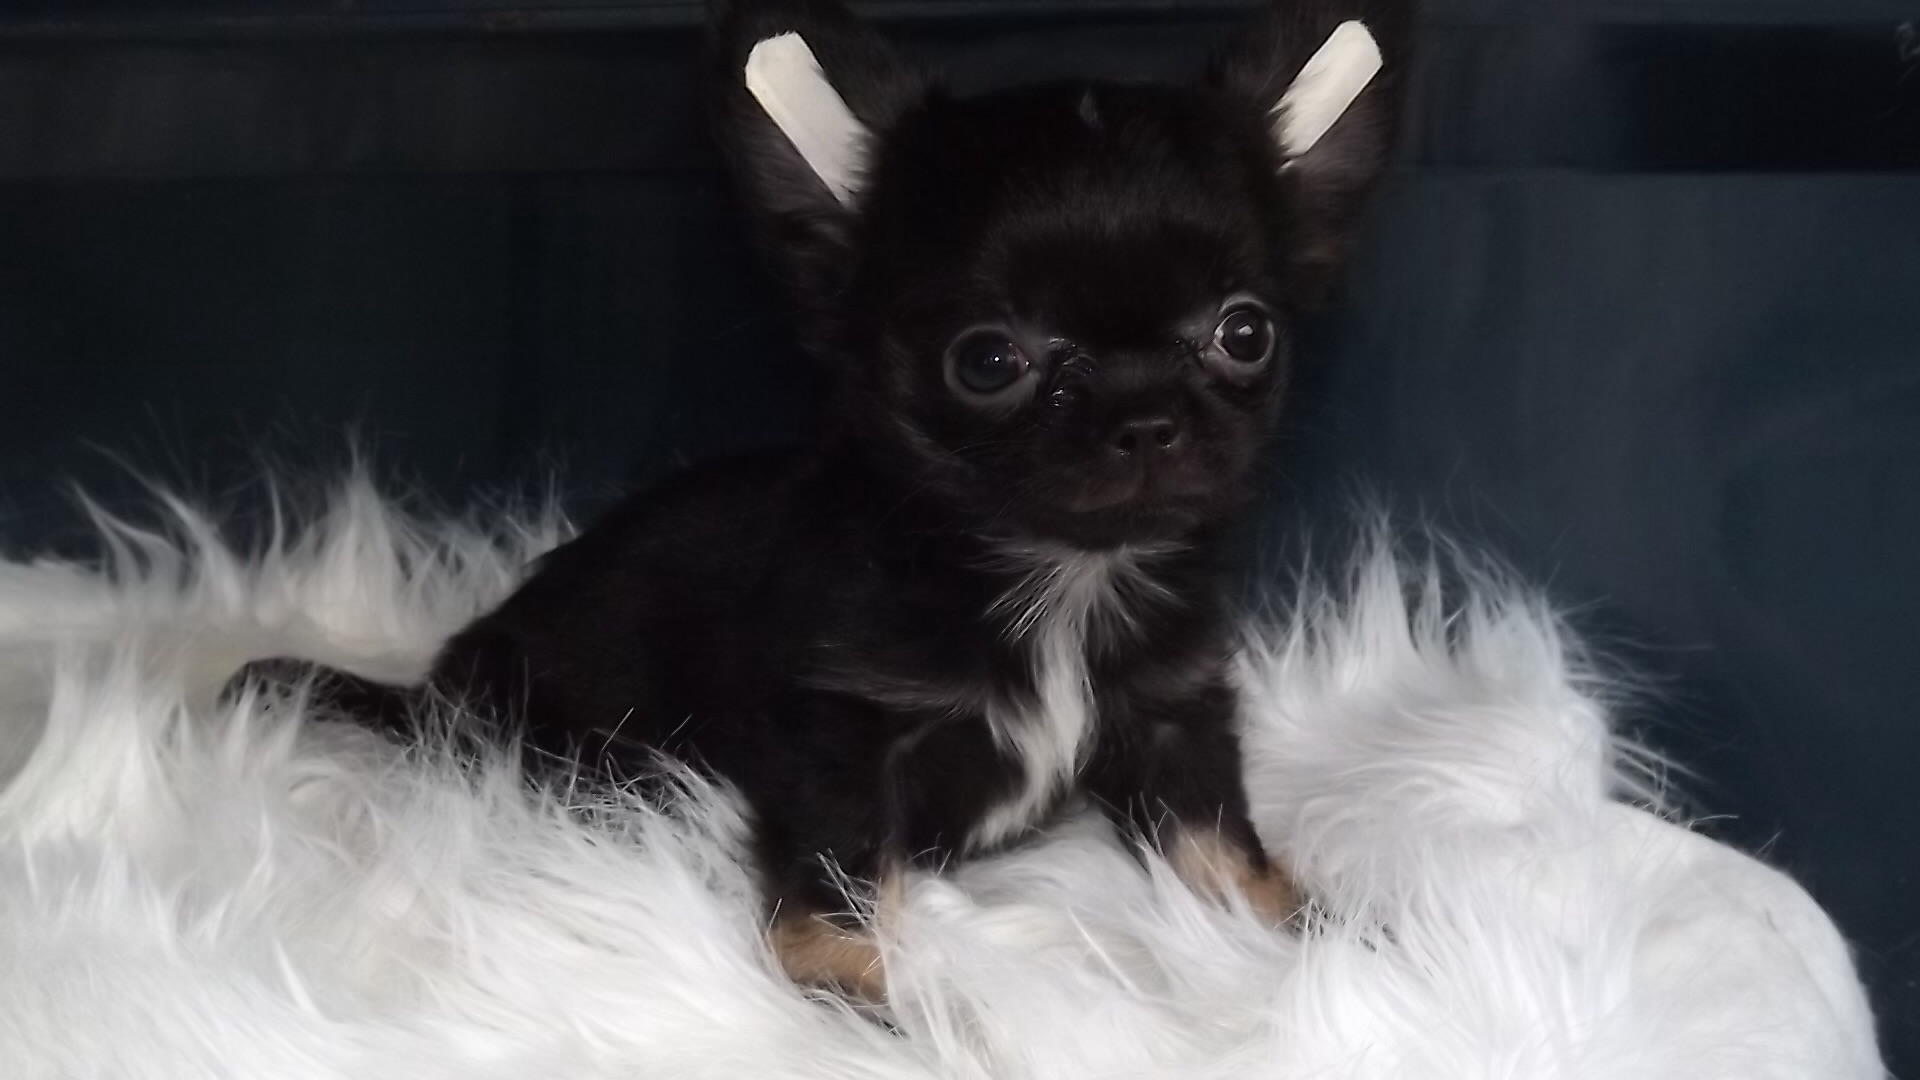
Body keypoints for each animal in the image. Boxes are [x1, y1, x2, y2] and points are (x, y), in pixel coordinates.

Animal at [230, 0, 1408, 1001]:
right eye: (988, 360)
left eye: (1245, 333)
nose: (1146, 418)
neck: (1055, 573)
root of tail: (435, 690)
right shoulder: (839, 738)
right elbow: (835, 876)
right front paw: (856, 991)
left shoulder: (1173, 718)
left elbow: (1221, 846)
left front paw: (1304, 931)